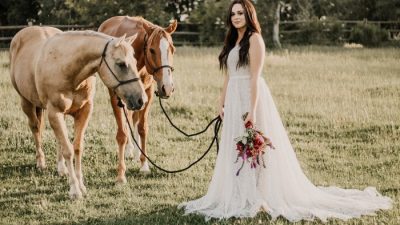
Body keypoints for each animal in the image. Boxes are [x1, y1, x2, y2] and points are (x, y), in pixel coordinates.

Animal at [9, 26, 147, 199]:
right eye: (121, 64)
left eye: (135, 62)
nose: (142, 100)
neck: (68, 69)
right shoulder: (55, 113)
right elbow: (68, 150)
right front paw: (74, 190)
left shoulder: (84, 111)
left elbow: (77, 147)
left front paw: (81, 184)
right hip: (27, 103)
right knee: (35, 129)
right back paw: (41, 162)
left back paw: (62, 169)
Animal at [98, 16, 177, 183]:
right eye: (152, 50)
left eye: (173, 49)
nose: (167, 88)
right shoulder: (116, 96)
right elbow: (122, 133)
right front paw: (121, 175)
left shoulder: (147, 94)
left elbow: (142, 128)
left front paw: (144, 165)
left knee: (132, 119)